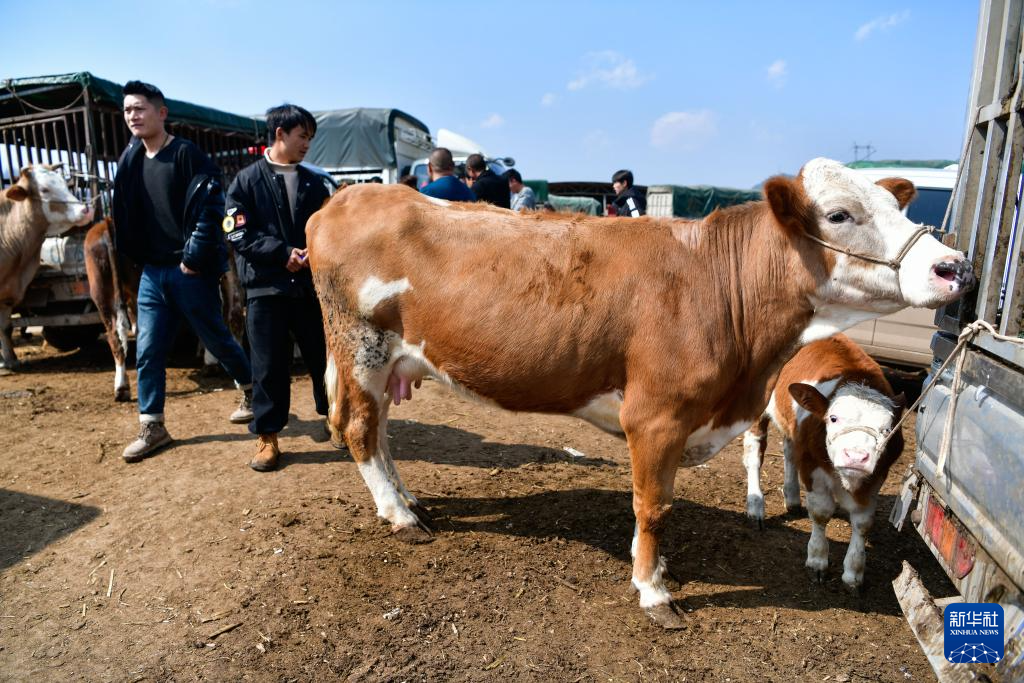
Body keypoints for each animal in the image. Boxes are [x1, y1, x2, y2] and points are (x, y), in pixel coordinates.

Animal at [1, 165, 94, 368]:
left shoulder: (8, 294)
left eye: (64, 184)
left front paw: (10, 361)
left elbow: (4, 327)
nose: (86, 209)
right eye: (44, 190)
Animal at [745, 333, 905, 589]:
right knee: (754, 452)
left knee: (789, 450)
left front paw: (854, 572)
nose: (856, 457)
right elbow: (821, 512)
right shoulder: (812, 465)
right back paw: (756, 505)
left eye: (887, 429)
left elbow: (863, 522)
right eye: (833, 418)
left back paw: (792, 497)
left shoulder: (877, 476)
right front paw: (817, 560)